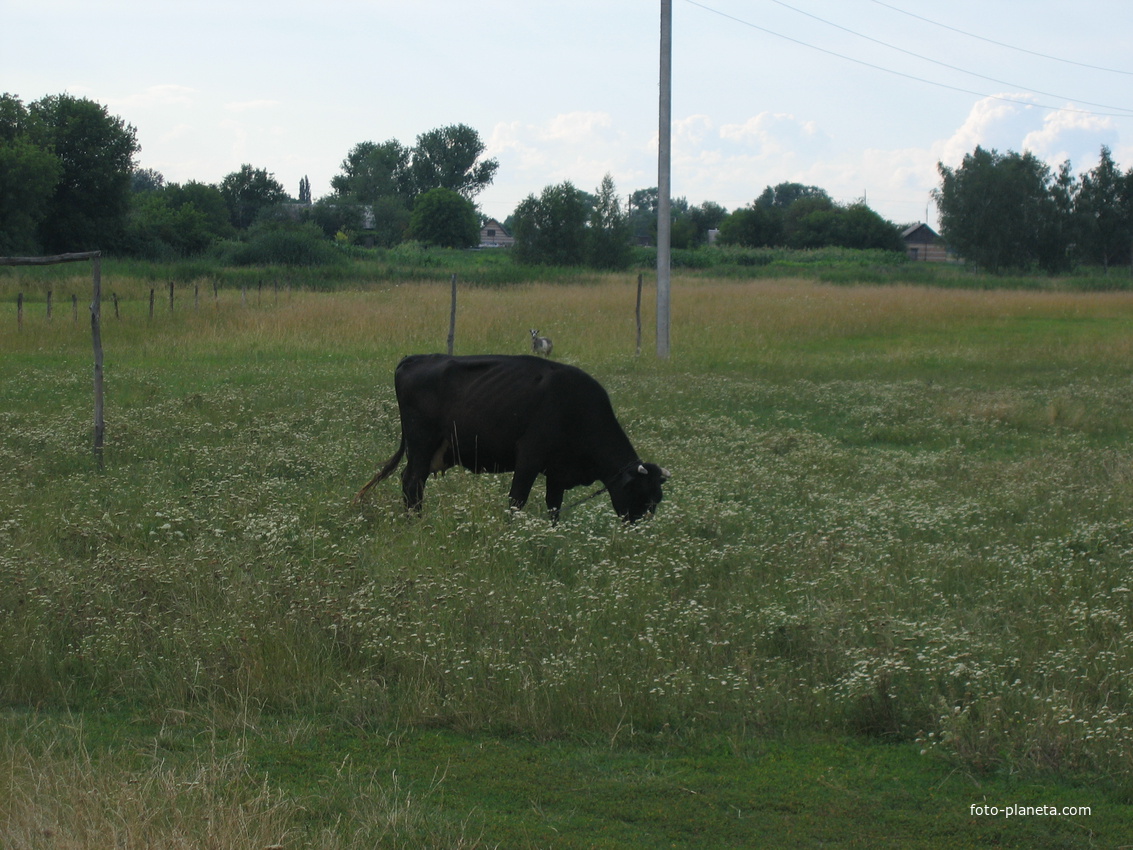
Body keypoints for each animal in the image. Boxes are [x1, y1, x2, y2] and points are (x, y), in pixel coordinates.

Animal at [353, 353, 666, 525]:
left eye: (657, 499)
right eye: (639, 493)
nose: (639, 529)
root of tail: (416, 358)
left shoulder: (557, 472)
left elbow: (554, 507)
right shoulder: (528, 458)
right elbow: (517, 500)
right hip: (421, 445)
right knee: (412, 482)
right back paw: (415, 523)